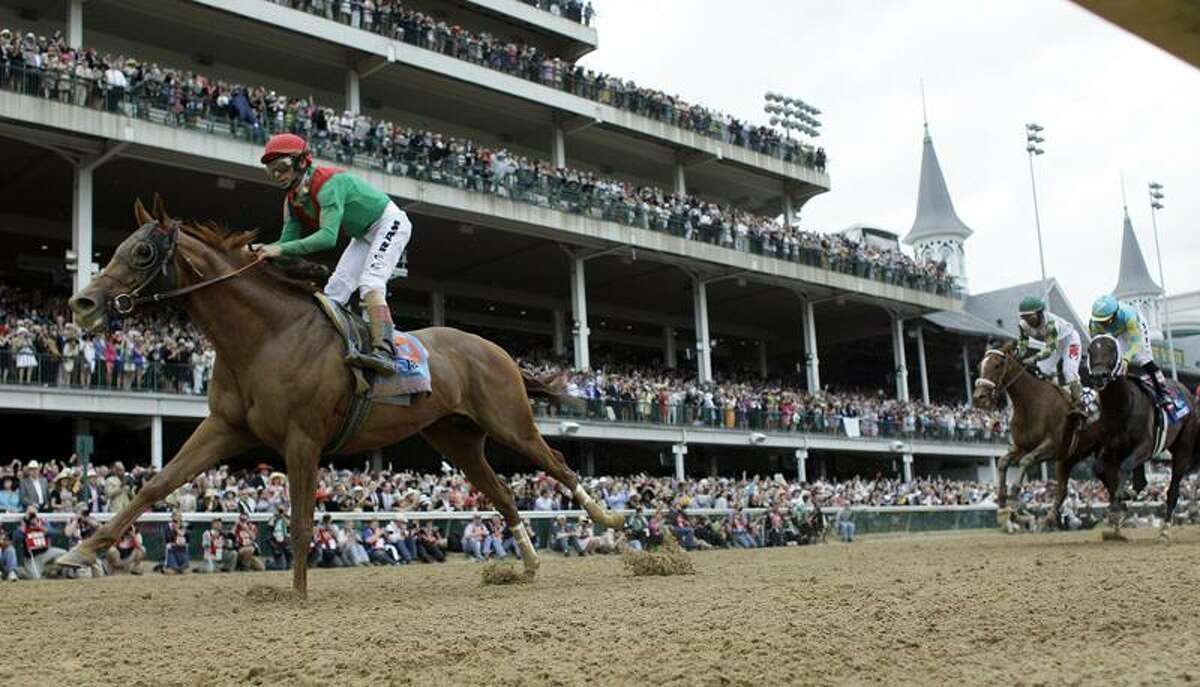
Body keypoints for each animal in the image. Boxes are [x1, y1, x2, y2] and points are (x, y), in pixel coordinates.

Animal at [56, 194, 624, 595]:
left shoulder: (302, 439)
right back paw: (527, 563)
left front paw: (298, 595)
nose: (82, 304)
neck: (266, 336)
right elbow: (156, 485)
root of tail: (496, 348)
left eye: (142, 252)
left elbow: (302, 518)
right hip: (457, 439)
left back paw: (610, 520)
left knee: (558, 464)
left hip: (509, 421)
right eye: (116, 249)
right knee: (504, 492)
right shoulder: (226, 427)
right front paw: (80, 551)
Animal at [974, 343, 1099, 526]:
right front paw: (1002, 501)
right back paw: (1047, 520)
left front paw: (1013, 496)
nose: (979, 398)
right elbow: (1003, 462)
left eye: (997, 365)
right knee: (1062, 490)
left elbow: (1026, 461)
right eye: (979, 366)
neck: (1030, 403)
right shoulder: (1022, 447)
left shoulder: (1052, 446)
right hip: (1068, 459)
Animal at [1089, 333, 1200, 542]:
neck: (1120, 407)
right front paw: (1118, 508)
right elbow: (1099, 468)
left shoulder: (1145, 446)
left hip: (1183, 449)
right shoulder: (1111, 448)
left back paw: (1164, 530)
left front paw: (1121, 499)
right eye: (1091, 350)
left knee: (1173, 489)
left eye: (1112, 350)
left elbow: (1124, 468)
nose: (1099, 376)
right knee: (1141, 481)